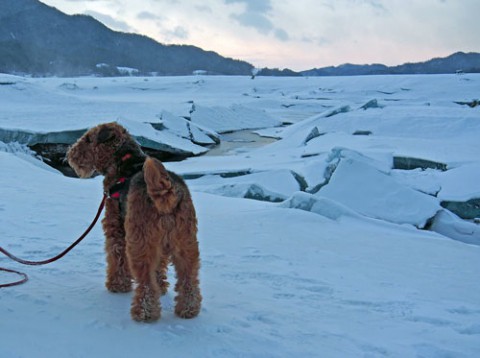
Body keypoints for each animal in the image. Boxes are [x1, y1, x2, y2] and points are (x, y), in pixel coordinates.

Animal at [66, 122, 202, 322]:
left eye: (89, 139)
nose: (70, 154)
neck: (125, 160)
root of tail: (166, 192)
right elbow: (159, 268)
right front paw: (162, 287)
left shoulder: (116, 227)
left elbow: (117, 257)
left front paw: (117, 285)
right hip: (186, 243)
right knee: (189, 280)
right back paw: (188, 310)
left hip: (141, 243)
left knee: (145, 283)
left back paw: (144, 313)